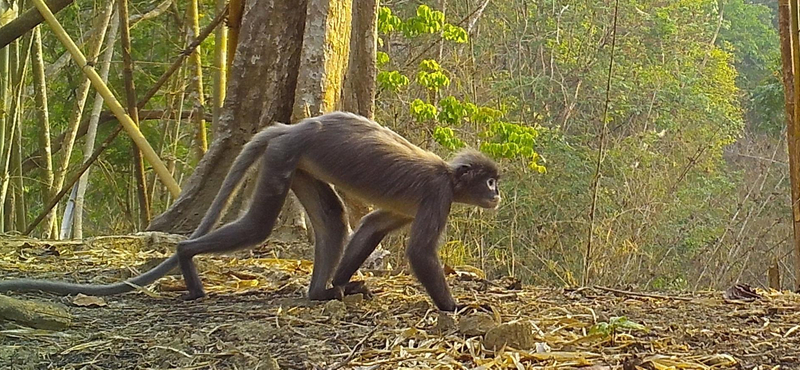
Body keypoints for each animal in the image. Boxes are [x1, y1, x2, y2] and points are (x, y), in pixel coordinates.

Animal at [0, 110, 500, 312]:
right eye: (490, 180)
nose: (497, 195)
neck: (450, 177)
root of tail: (292, 126)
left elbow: (373, 224)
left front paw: (343, 285)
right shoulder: (437, 194)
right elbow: (418, 253)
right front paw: (457, 308)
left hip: (295, 161)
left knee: (332, 218)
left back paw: (321, 293)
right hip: (285, 155)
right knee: (259, 226)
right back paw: (185, 258)